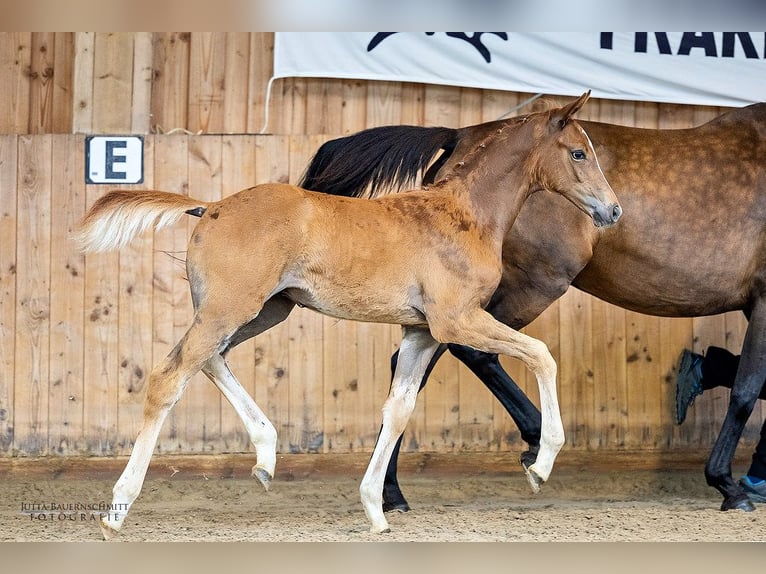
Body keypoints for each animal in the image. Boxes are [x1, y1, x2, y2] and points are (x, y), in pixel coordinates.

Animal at [300, 101, 766, 516]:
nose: (614, 210)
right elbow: (747, 388)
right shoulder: (763, 300)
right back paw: (527, 447)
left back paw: (393, 492)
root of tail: (461, 135)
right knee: (469, 355)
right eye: (578, 153)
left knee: (416, 369)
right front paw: (729, 486)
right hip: (530, 286)